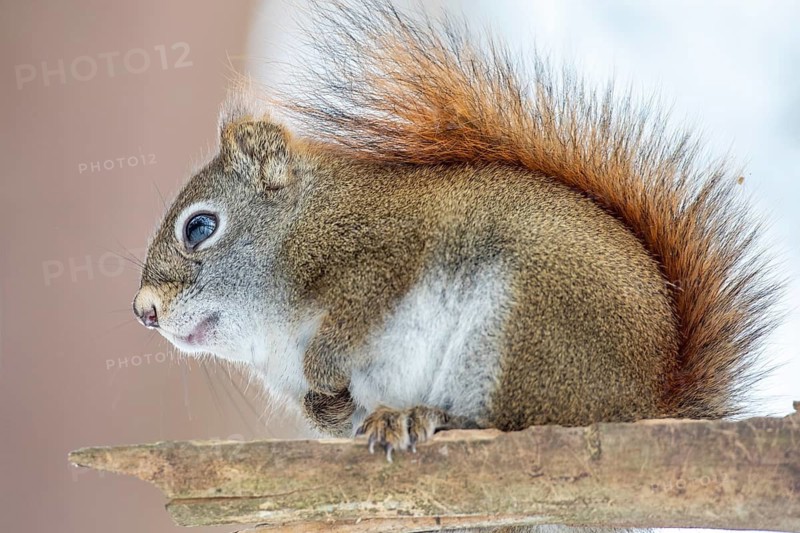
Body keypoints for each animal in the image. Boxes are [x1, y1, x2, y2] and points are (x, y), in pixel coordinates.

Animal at [132, 0, 780, 461]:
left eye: (200, 227)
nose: (144, 311)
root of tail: (649, 401)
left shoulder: (383, 256)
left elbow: (348, 324)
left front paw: (325, 371)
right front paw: (329, 407)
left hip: (525, 328)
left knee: (516, 422)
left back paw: (427, 416)